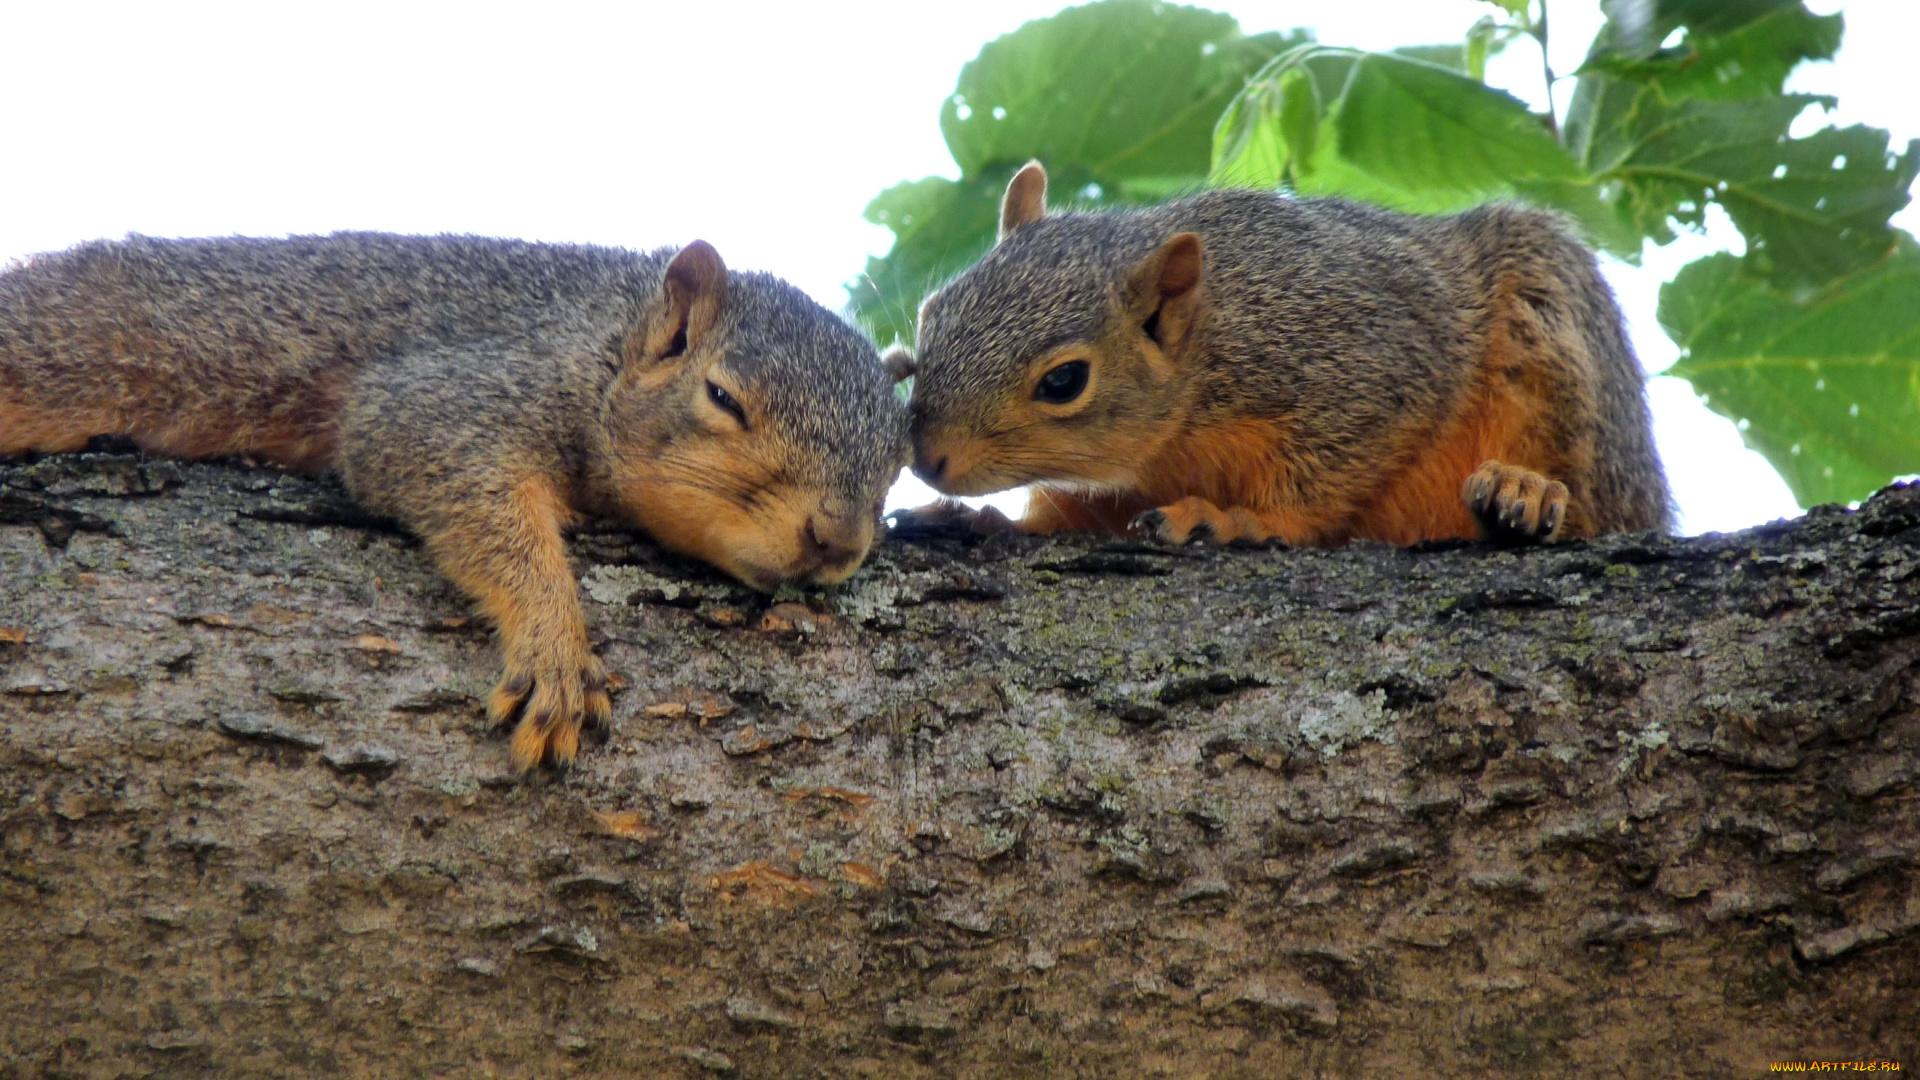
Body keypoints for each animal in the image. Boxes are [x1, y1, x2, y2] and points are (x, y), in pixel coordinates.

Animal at [1, 232, 906, 768]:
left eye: (897, 457)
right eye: (721, 398)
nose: (837, 539)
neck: (599, 338)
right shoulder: (450, 394)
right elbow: (472, 492)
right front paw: (555, 650)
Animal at [890, 160, 1674, 541]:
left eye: (1064, 382)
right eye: (934, 313)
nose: (927, 459)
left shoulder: (1365, 363)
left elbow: (1322, 479)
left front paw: (1238, 520)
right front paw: (984, 518)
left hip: (1558, 343)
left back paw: (1527, 489)